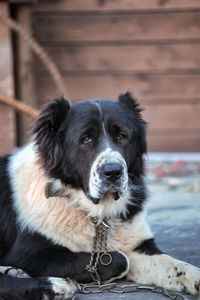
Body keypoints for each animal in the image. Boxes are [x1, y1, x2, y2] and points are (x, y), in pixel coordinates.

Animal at [0, 92, 199, 298]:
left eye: (122, 136)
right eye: (85, 139)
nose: (113, 172)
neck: (95, 210)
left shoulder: (138, 244)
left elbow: (174, 265)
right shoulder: (29, 255)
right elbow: (121, 259)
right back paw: (52, 287)